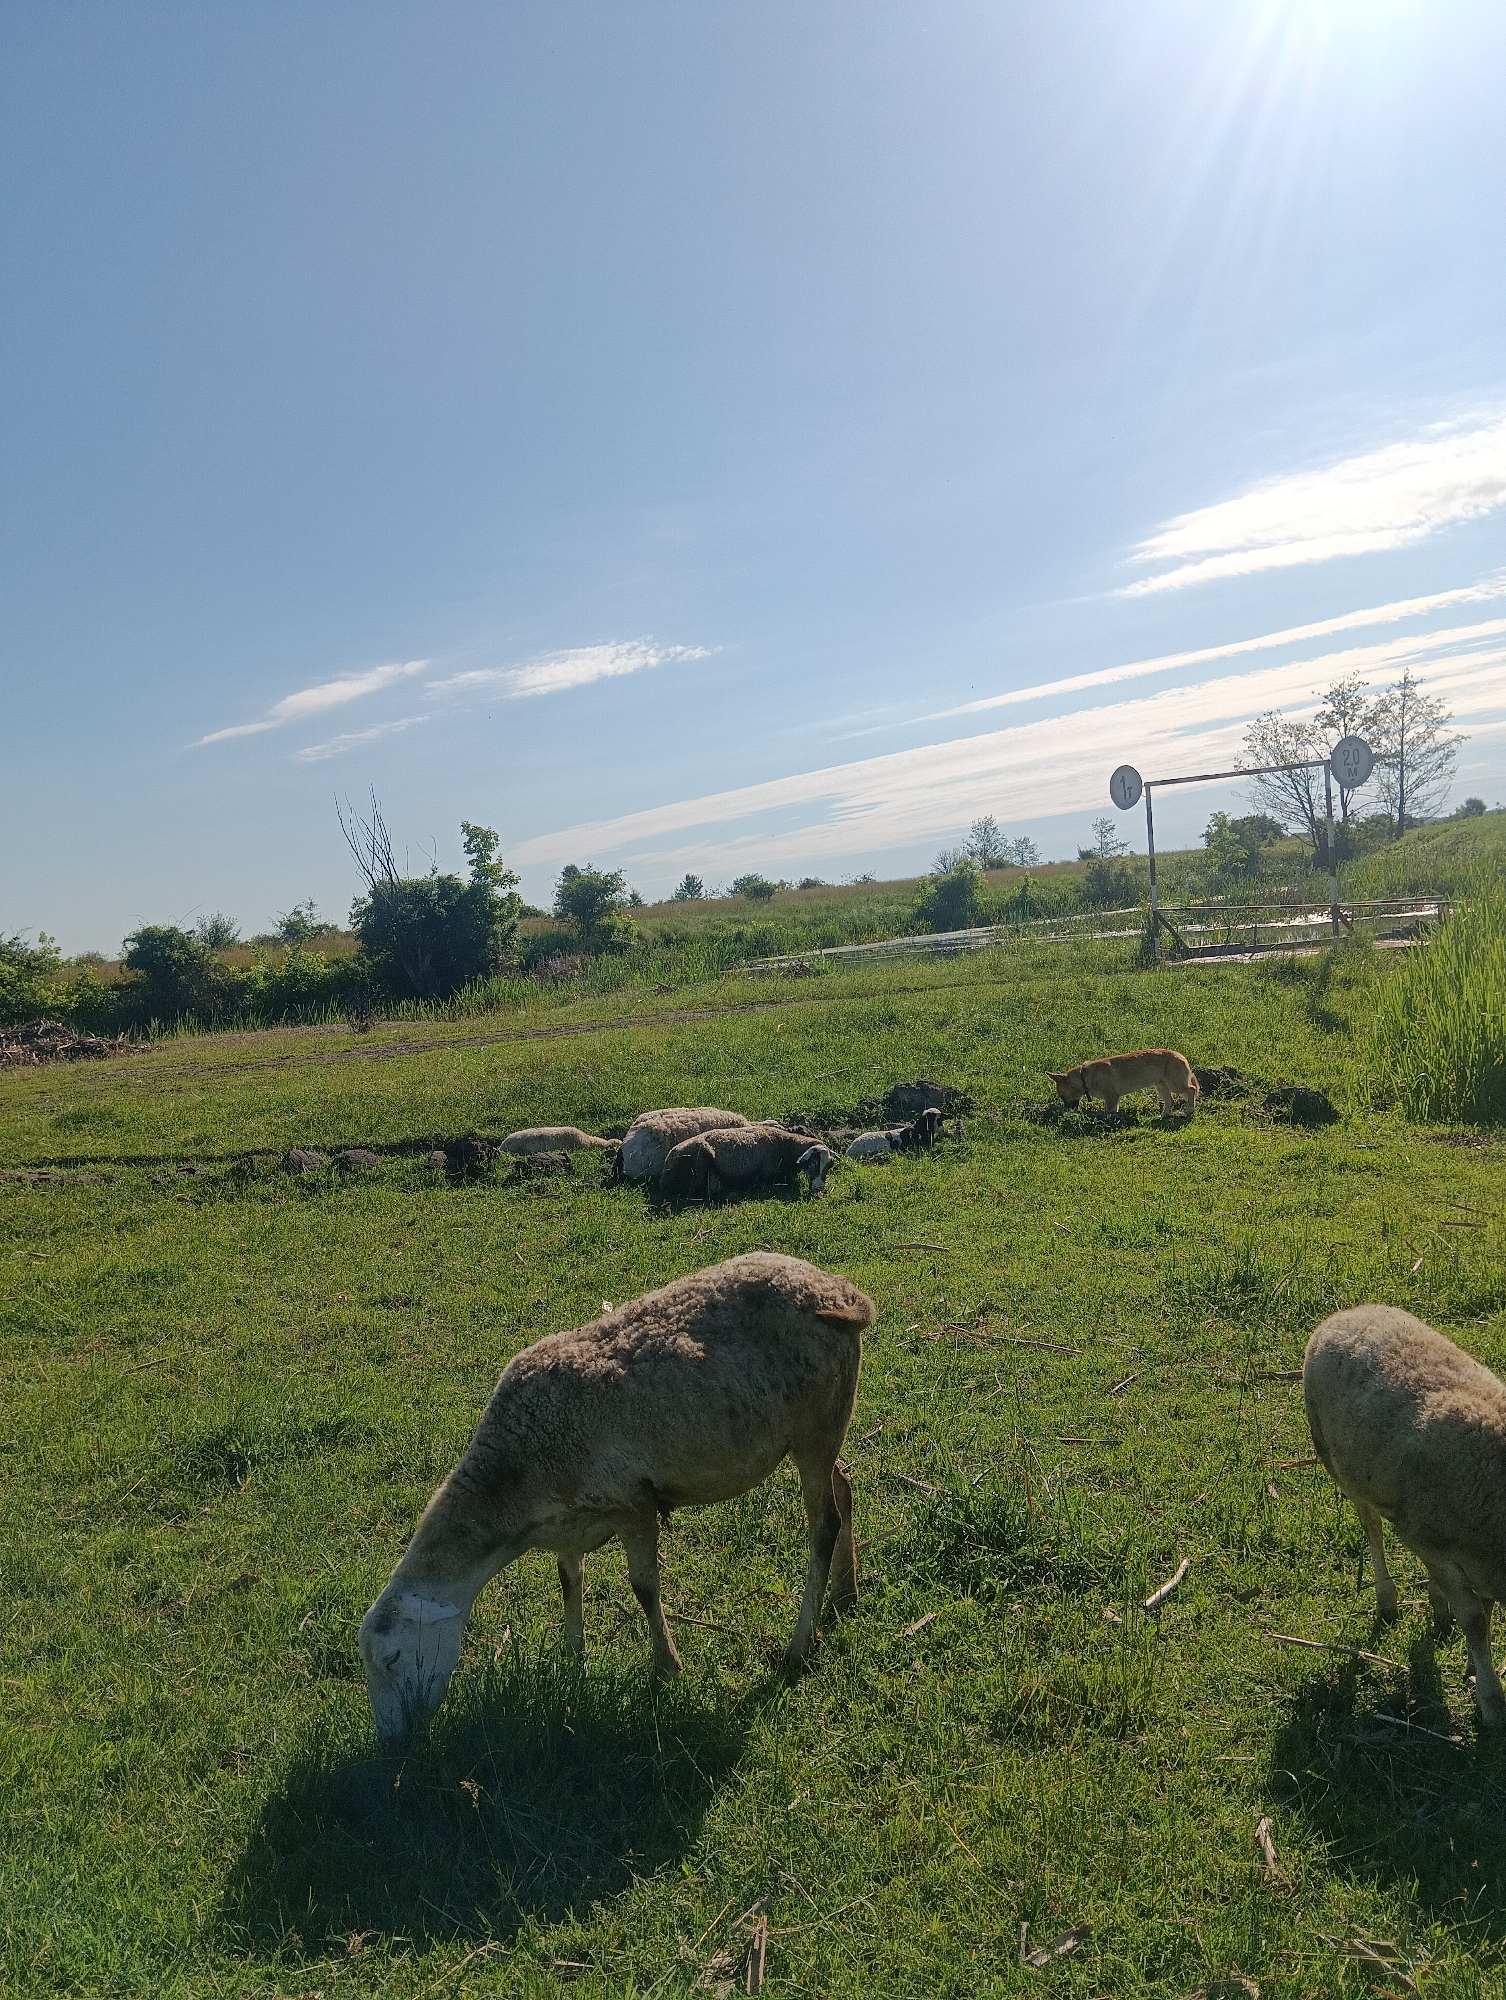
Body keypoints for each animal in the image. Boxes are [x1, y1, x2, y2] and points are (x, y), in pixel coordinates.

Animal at [358, 1252, 876, 1741]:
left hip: (814, 1425)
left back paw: (798, 1648)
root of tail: (841, 1293)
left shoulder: (633, 1504)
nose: (392, 1744)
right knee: (844, 1488)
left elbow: (644, 1589)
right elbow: (569, 1581)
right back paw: (845, 1593)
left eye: (393, 1659)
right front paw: (572, 1659)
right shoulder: (568, 1520)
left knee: (823, 1527)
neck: (517, 1473)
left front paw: (666, 1669)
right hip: (824, 1428)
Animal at [660, 1126, 835, 1204]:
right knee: (696, 1193)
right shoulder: (766, 1175)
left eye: (828, 1167)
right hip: (700, 1157)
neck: (785, 1145)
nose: (819, 1187)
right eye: (813, 1162)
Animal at [1304, 1304, 1506, 1725]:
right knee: (1372, 1529)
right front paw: (1492, 1702)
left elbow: (1485, 1609)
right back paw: (1387, 1601)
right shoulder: (1436, 1546)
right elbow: (1475, 1620)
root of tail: (1349, 1311)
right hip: (1340, 1466)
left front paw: (1474, 1669)